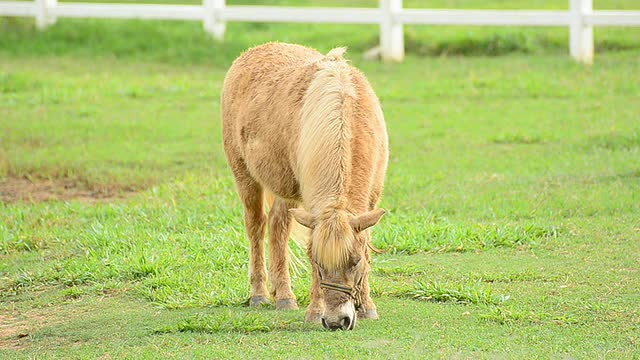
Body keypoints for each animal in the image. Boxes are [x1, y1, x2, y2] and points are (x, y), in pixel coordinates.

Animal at [220, 43, 390, 332]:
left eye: (354, 261)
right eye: (317, 262)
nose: (336, 321)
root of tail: (249, 54)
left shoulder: (370, 202)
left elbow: (366, 245)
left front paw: (367, 306)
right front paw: (314, 310)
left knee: (278, 227)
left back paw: (283, 296)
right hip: (245, 176)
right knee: (256, 226)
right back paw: (261, 294)